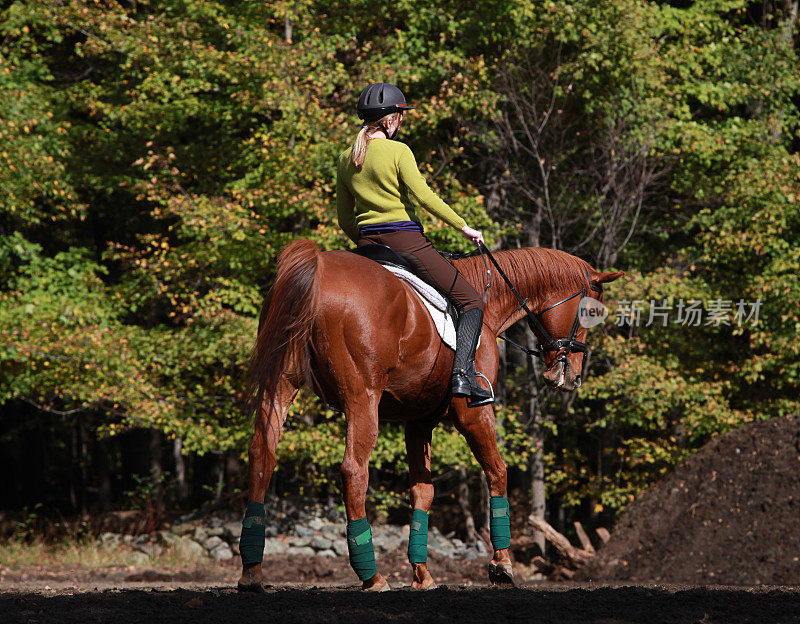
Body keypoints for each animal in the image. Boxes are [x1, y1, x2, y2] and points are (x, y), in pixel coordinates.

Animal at [238, 238, 624, 588]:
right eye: (590, 312)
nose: (571, 376)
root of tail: (318, 267)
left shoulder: (418, 421)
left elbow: (423, 490)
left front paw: (422, 575)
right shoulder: (473, 412)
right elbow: (497, 471)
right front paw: (501, 565)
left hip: (280, 385)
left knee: (262, 454)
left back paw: (252, 570)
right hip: (362, 400)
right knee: (354, 471)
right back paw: (371, 576)